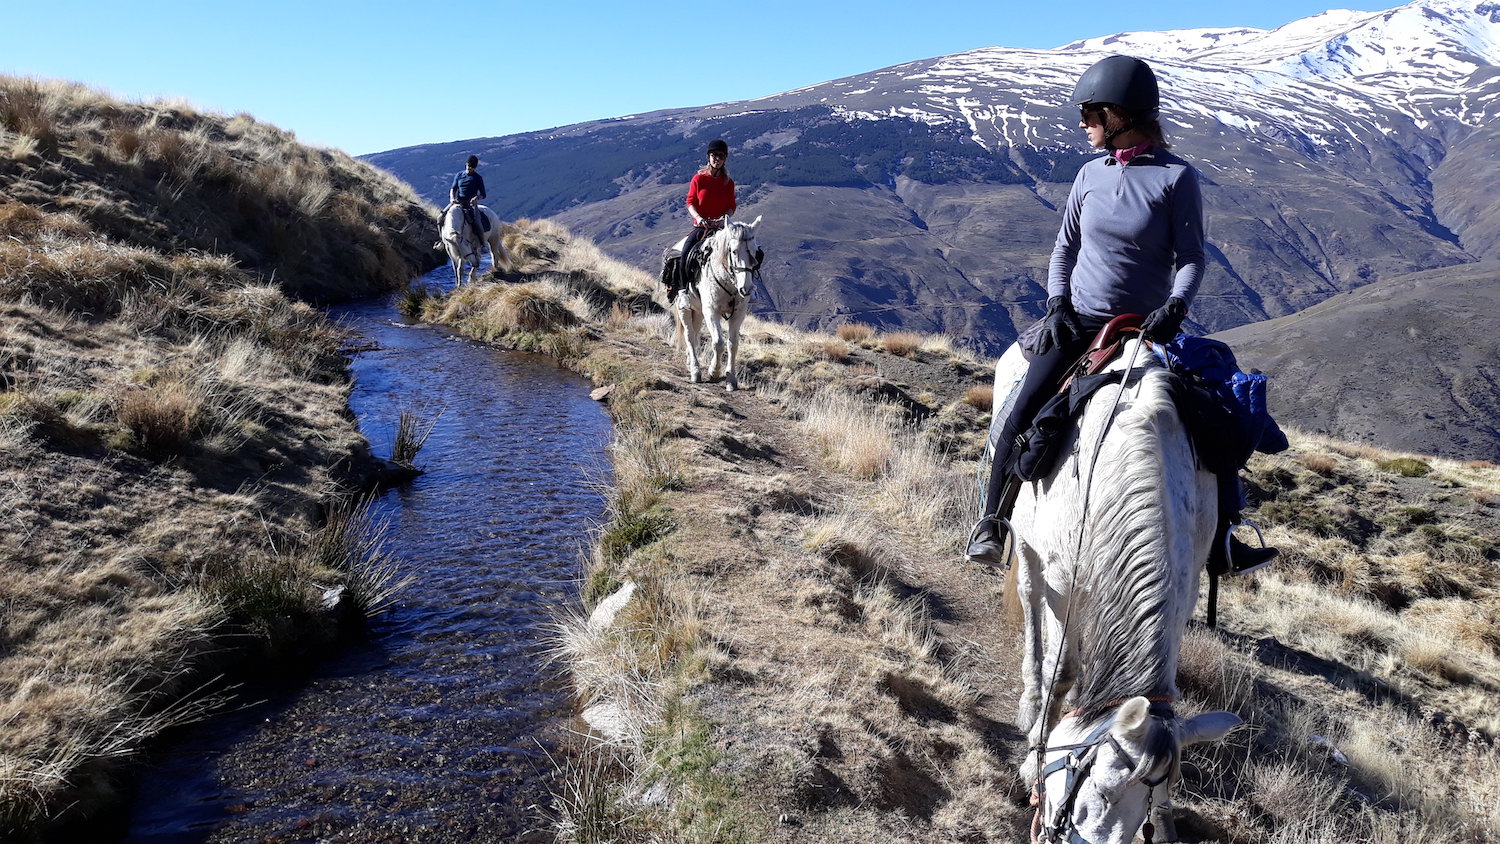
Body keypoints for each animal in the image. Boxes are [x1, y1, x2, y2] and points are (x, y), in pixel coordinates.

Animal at [669, 216, 763, 391]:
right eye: (734, 251)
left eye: (756, 253)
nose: (746, 288)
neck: (728, 280)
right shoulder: (711, 311)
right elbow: (718, 342)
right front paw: (714, 373)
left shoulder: (738, 313)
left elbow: (733, 344)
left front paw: (731, 379)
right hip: (684, 308)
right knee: (689, 335)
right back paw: (695, 371)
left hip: (698, 311)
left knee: (695, 334)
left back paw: (690, 363)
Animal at [1001, 336, 1243, 844]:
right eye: (1098, 789)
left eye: (1144, 813)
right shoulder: (1064, 583)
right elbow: (1061, 670)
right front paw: (1033, 756)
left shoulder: (1184, 592)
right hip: (1028, 542)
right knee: (1031, 600)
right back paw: (1030, 703)